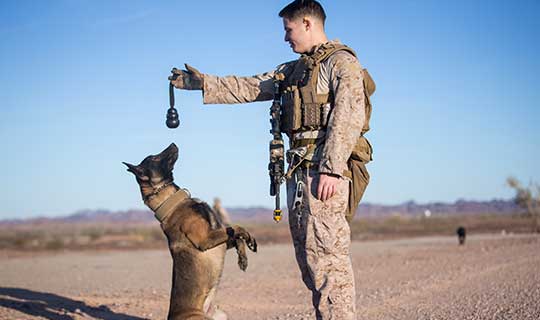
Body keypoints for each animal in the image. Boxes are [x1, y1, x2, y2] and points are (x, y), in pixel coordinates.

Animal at [123, 144, 256, 318]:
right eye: (154, 158)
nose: (173, 144)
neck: (170, 202)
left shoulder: (219, 239)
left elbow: (236, 235)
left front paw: (243, 257)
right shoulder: (205, 239)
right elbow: (237, 227)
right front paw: (248, 238)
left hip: (221, 315)